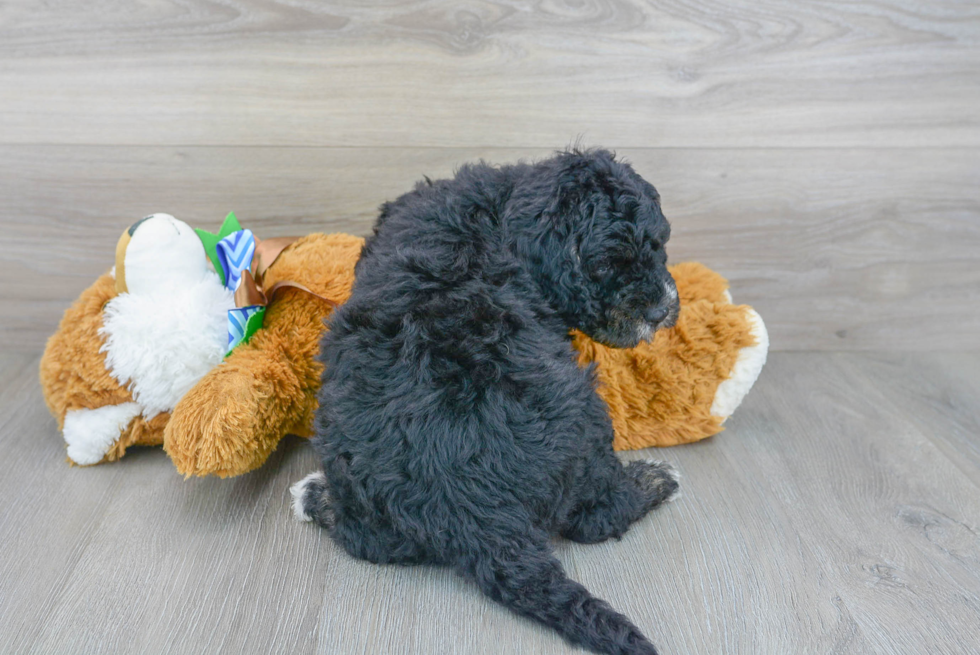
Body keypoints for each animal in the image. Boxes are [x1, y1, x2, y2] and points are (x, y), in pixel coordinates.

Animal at [292, 150, 680, 655]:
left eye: (659, 245)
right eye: (602, 265)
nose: (660, 311)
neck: (497, 210)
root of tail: (474, 510)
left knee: (367, 539)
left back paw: (314, 495)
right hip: (585, 418)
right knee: (595, 517)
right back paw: (656, 479)